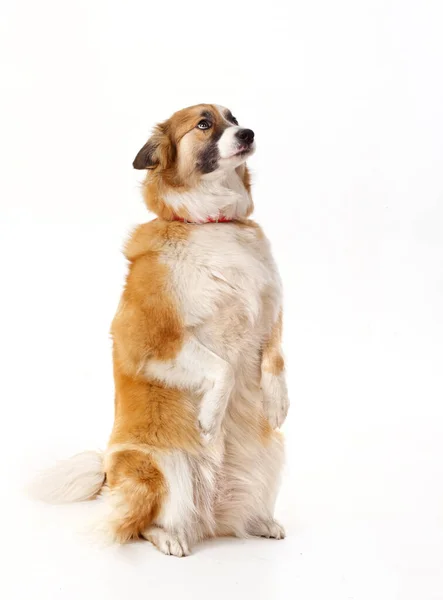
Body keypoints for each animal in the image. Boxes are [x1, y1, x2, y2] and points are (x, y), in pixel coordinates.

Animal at [33, 104, 290, 556]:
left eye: (233, 117)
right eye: (204, 124)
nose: (248, 133)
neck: (213, 223)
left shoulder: (268, 309)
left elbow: (275, 358)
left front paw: (277, 403)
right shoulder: (151, 343)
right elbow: (222, 367)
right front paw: (210, 417)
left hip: (268, 457)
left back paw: (258, 522)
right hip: (160, 466)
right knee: (139, 524)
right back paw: (169, 536)